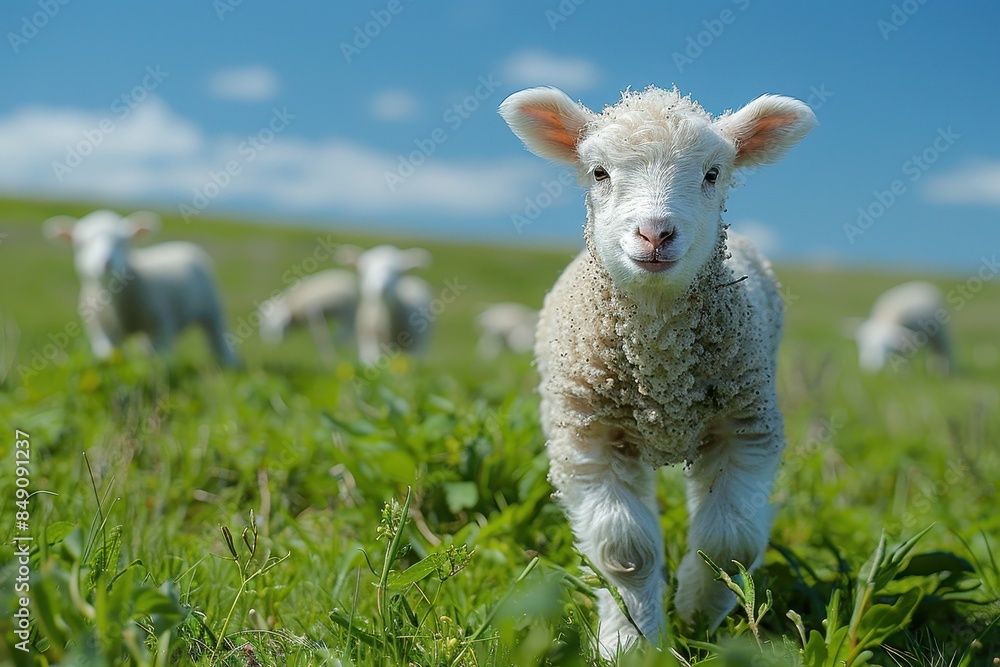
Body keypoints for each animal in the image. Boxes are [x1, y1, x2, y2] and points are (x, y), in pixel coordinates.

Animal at [43, 209, 240, 367]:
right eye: (80, 243)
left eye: (125, 241)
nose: (106, 263)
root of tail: (184, 244)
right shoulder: (102, 332)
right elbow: (109, 357)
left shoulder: (160, 325)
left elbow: (161, 362)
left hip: (211, 308)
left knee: (218, 338)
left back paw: (230, 365)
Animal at [500, 84, 816, 654]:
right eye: (598, 172)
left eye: (713, 172)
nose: (654, 234)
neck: (661, 372)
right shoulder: (590, 436)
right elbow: (625, 551)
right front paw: (630, 641)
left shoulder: (744, 429)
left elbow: (728, 543)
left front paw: (697, 619)